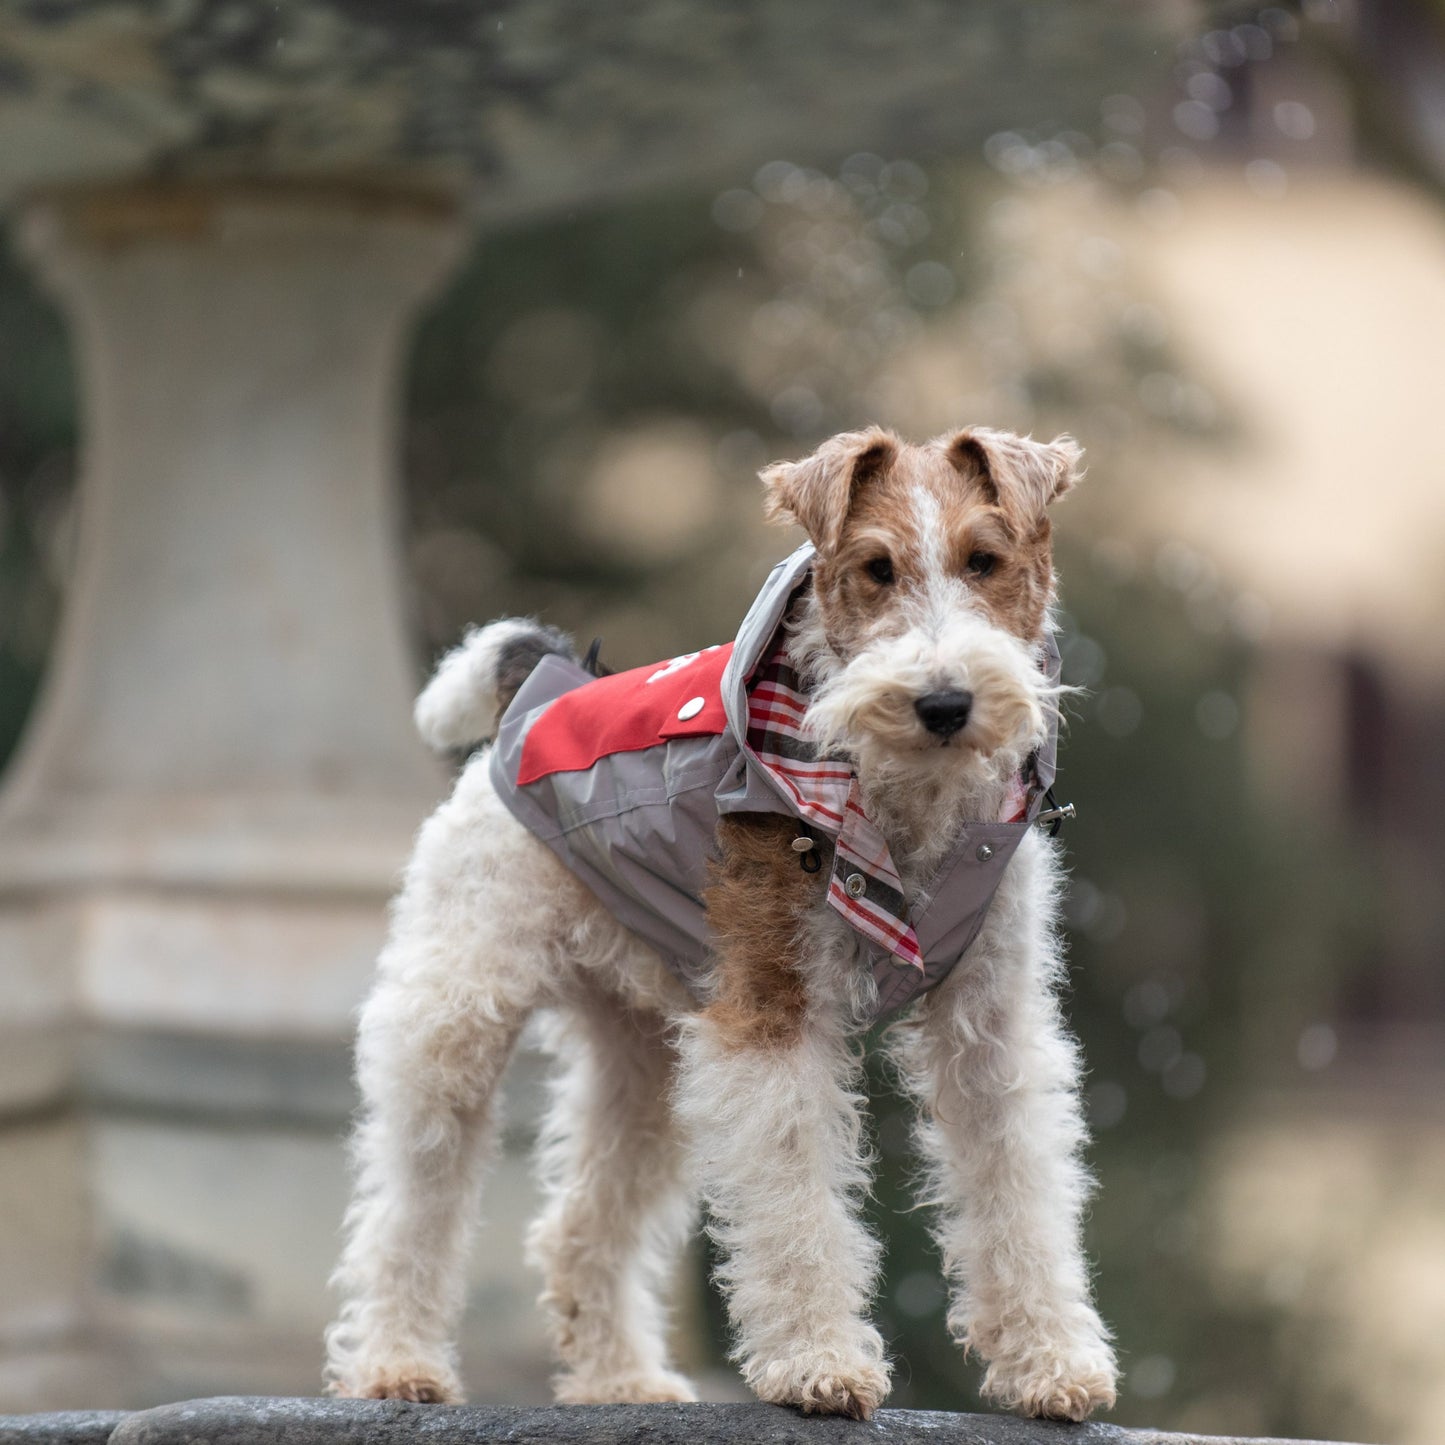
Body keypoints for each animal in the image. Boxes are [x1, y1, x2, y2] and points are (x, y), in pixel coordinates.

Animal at [325, 421, 1115, 1416]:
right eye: (875, 567)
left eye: (985, 559)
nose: (943, 703)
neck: (901, 804)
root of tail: (545, 681)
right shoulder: (770, 1014)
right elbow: (796, 1200)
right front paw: (819, 1365)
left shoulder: (989, 1028)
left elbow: (1019, 1188)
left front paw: (1052, 1365)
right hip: (455, 1020)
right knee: (408, 1207)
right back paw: (396, 1366)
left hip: (647, 1059)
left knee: (577, 1225)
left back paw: (622, 1380)